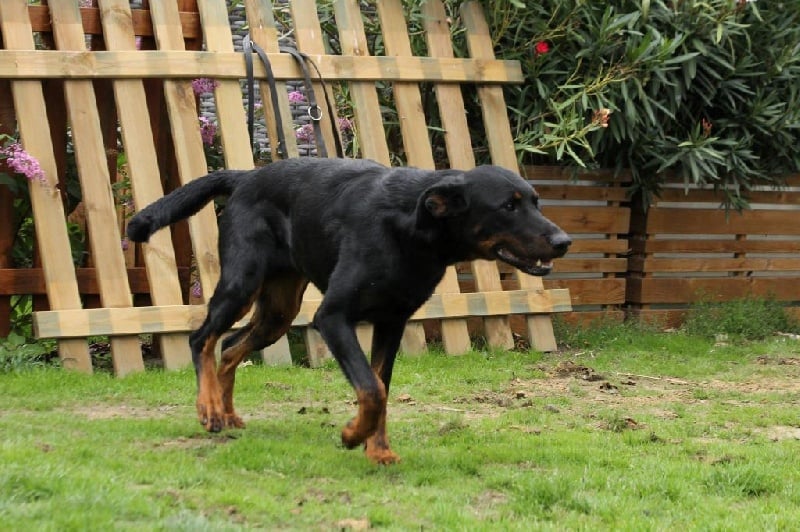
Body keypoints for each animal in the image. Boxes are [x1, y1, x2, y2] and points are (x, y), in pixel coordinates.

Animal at [126, 156, 568, 464]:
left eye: (535, 201)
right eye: (507, 206)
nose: (564, 241)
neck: (410, 228)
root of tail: (246, 177)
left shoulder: (392, 323)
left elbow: (381, 389)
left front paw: (378, 449)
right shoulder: (333, 318)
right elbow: (371, 390)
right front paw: (353, 435)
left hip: (278, 311)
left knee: (232, 345)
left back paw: (228, 411)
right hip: (241, 283)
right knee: (202, 337)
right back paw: (210, 409)